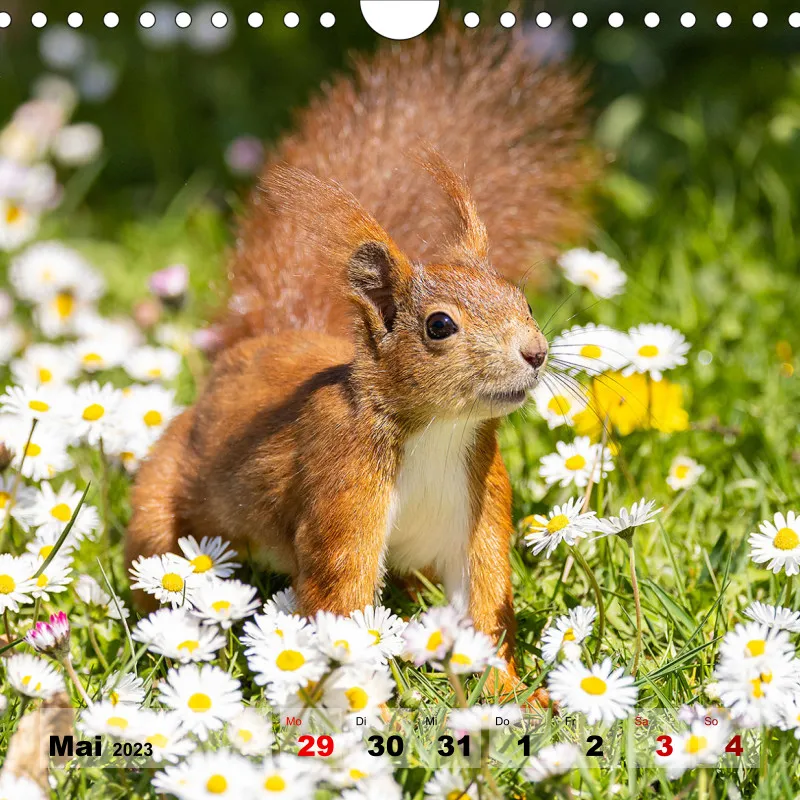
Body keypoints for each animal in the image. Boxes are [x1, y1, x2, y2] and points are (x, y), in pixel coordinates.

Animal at [126, 24, 597, 697]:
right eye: (439, 325)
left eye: (522, 299)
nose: (535, 353)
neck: (435, 433)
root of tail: (255, 348)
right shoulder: (343, 487)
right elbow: (340, 605)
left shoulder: (481, 502)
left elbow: (485, 599)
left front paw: (510, 696)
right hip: (166, 497)